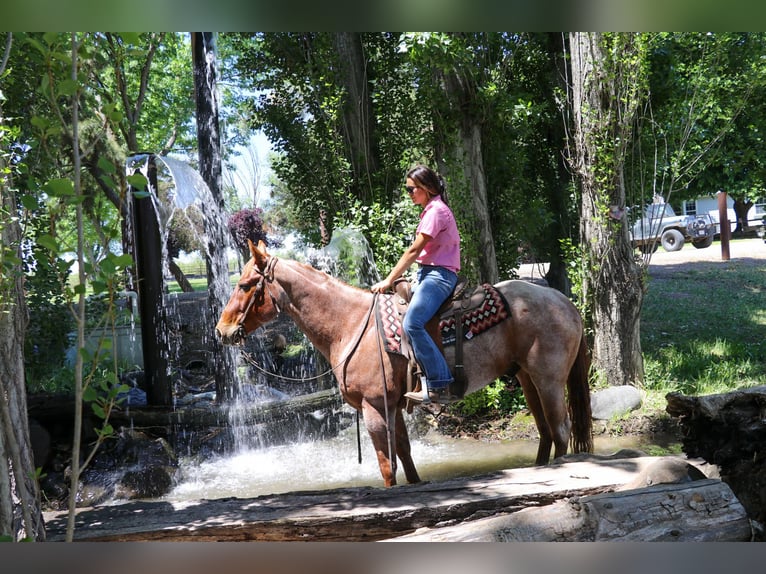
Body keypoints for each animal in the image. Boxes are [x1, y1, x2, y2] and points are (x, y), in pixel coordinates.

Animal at [216, 241, 592, 488]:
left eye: (245, 285)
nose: (222, 331)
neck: (350, 324)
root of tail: (564, 301)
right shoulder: (392, 405)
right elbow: (405, 457)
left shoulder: (373, 407)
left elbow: (387, 466)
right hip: (527, 379)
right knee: (546, 432)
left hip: (548, 380)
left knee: (560, 431)